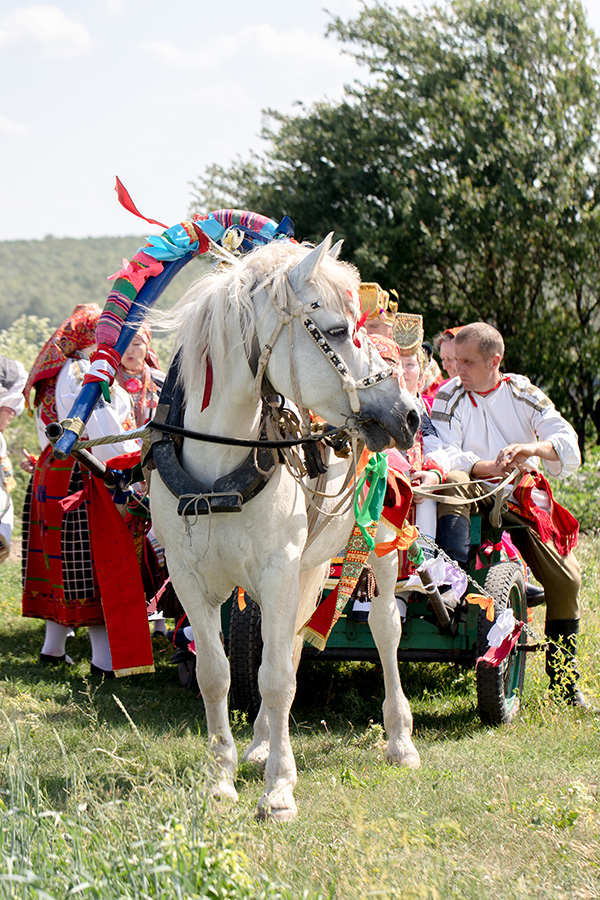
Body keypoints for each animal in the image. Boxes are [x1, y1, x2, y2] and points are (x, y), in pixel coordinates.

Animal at [149, 234, 422, 821]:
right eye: (338, 331)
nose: (410, 414)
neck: (218, 465)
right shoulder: (190, 579)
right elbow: (219, 674)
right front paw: (223, 777)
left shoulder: (277, 569)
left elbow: (274, 680)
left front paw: (279, 790)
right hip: (307, 564)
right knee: (292, 644)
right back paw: (260, 743)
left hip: (381, 545)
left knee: (385, 629)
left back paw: (400, 739)